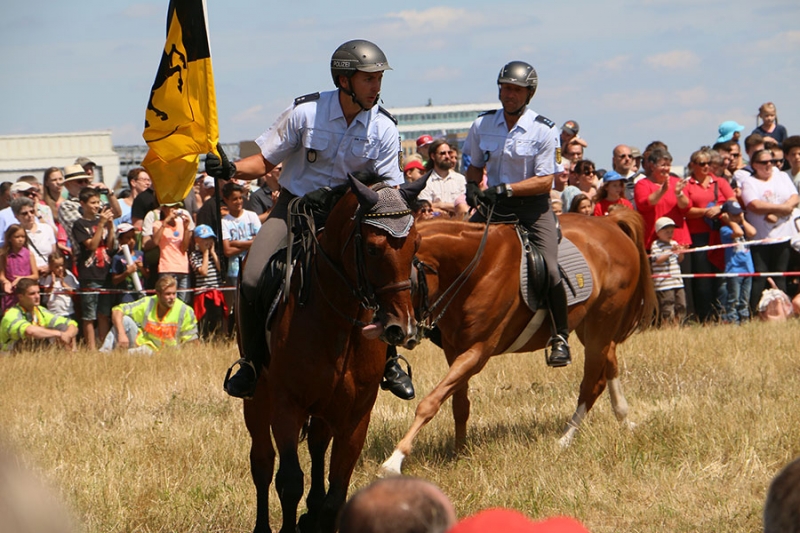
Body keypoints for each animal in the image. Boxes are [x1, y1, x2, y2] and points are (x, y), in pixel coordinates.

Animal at [244, 174, 432, 532]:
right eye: (372, 248)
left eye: (415, 245)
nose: (401, 328)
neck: (336, 321)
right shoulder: (287, 405)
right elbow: (289, 482)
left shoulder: (356, 414)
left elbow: (337, 492)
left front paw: (318, 515)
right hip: (258, 398)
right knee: (262, 463)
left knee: (317, 447)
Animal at [382, 208, 656, 474]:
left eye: (407, 282)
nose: (393, 330)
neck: (476, 268)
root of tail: (610, 222)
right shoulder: (454, 349)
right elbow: (458, 404)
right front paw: (460, 453)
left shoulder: (477, 352)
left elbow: (430, 402)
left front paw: (395, 459)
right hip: (590, 328)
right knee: (609, 365)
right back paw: (624, 418)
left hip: (602, 322)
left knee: (592, 383)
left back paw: (564, 440)